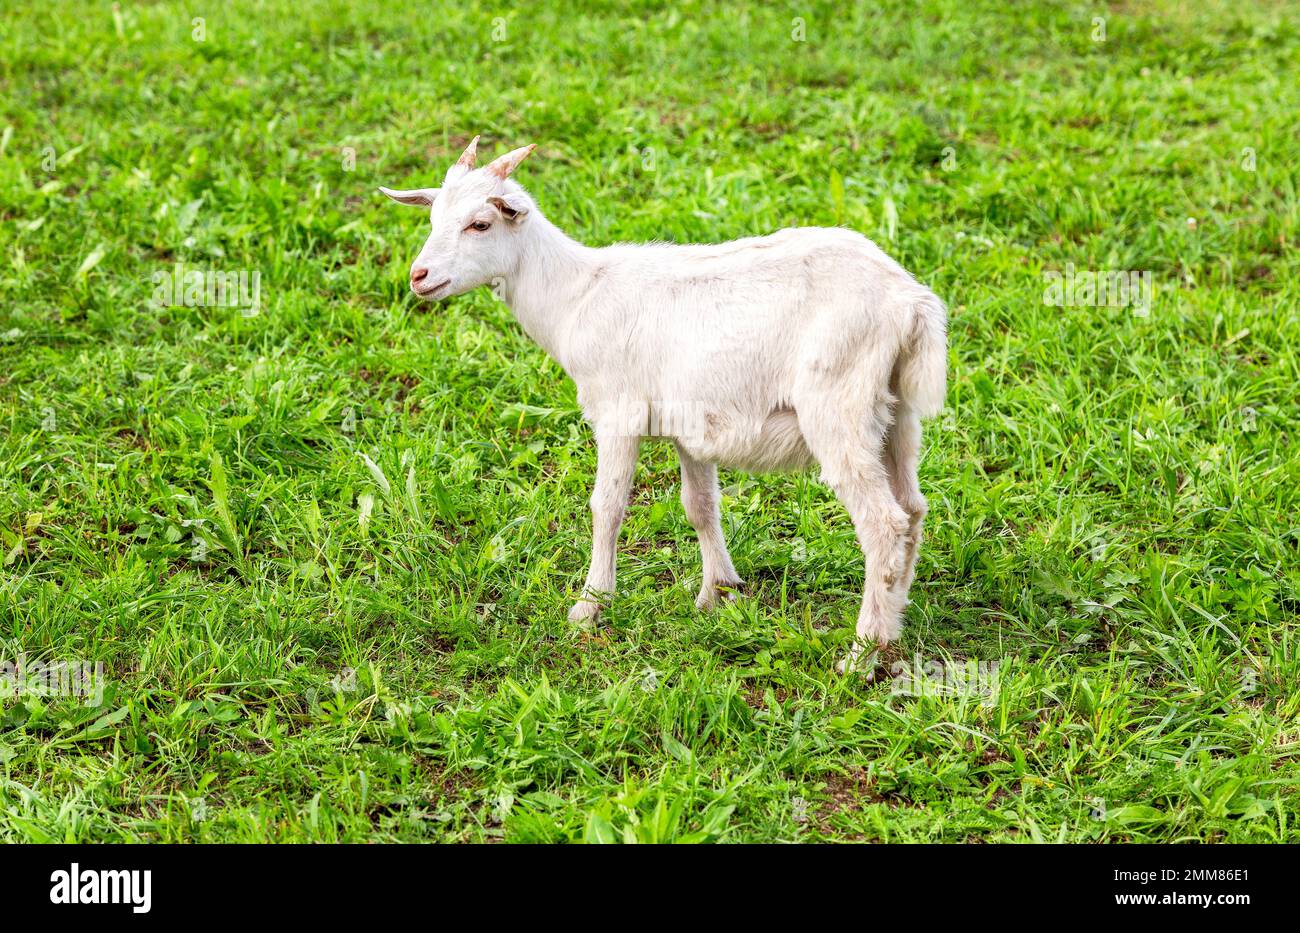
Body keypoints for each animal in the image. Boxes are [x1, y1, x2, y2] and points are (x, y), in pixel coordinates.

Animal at [380, 138, 947, 672]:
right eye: (432, 218)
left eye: (480, 223)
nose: (419, 276)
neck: (575, 296)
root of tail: (909, 302)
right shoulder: (691, 425)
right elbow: (699, 506)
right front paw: (717, 593)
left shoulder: (617, 412)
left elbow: (607, 506)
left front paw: (590, 605)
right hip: (895, 412)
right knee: (913, 509)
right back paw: (894, 619)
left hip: (838, 405)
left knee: (883, 523)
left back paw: (861, 652)